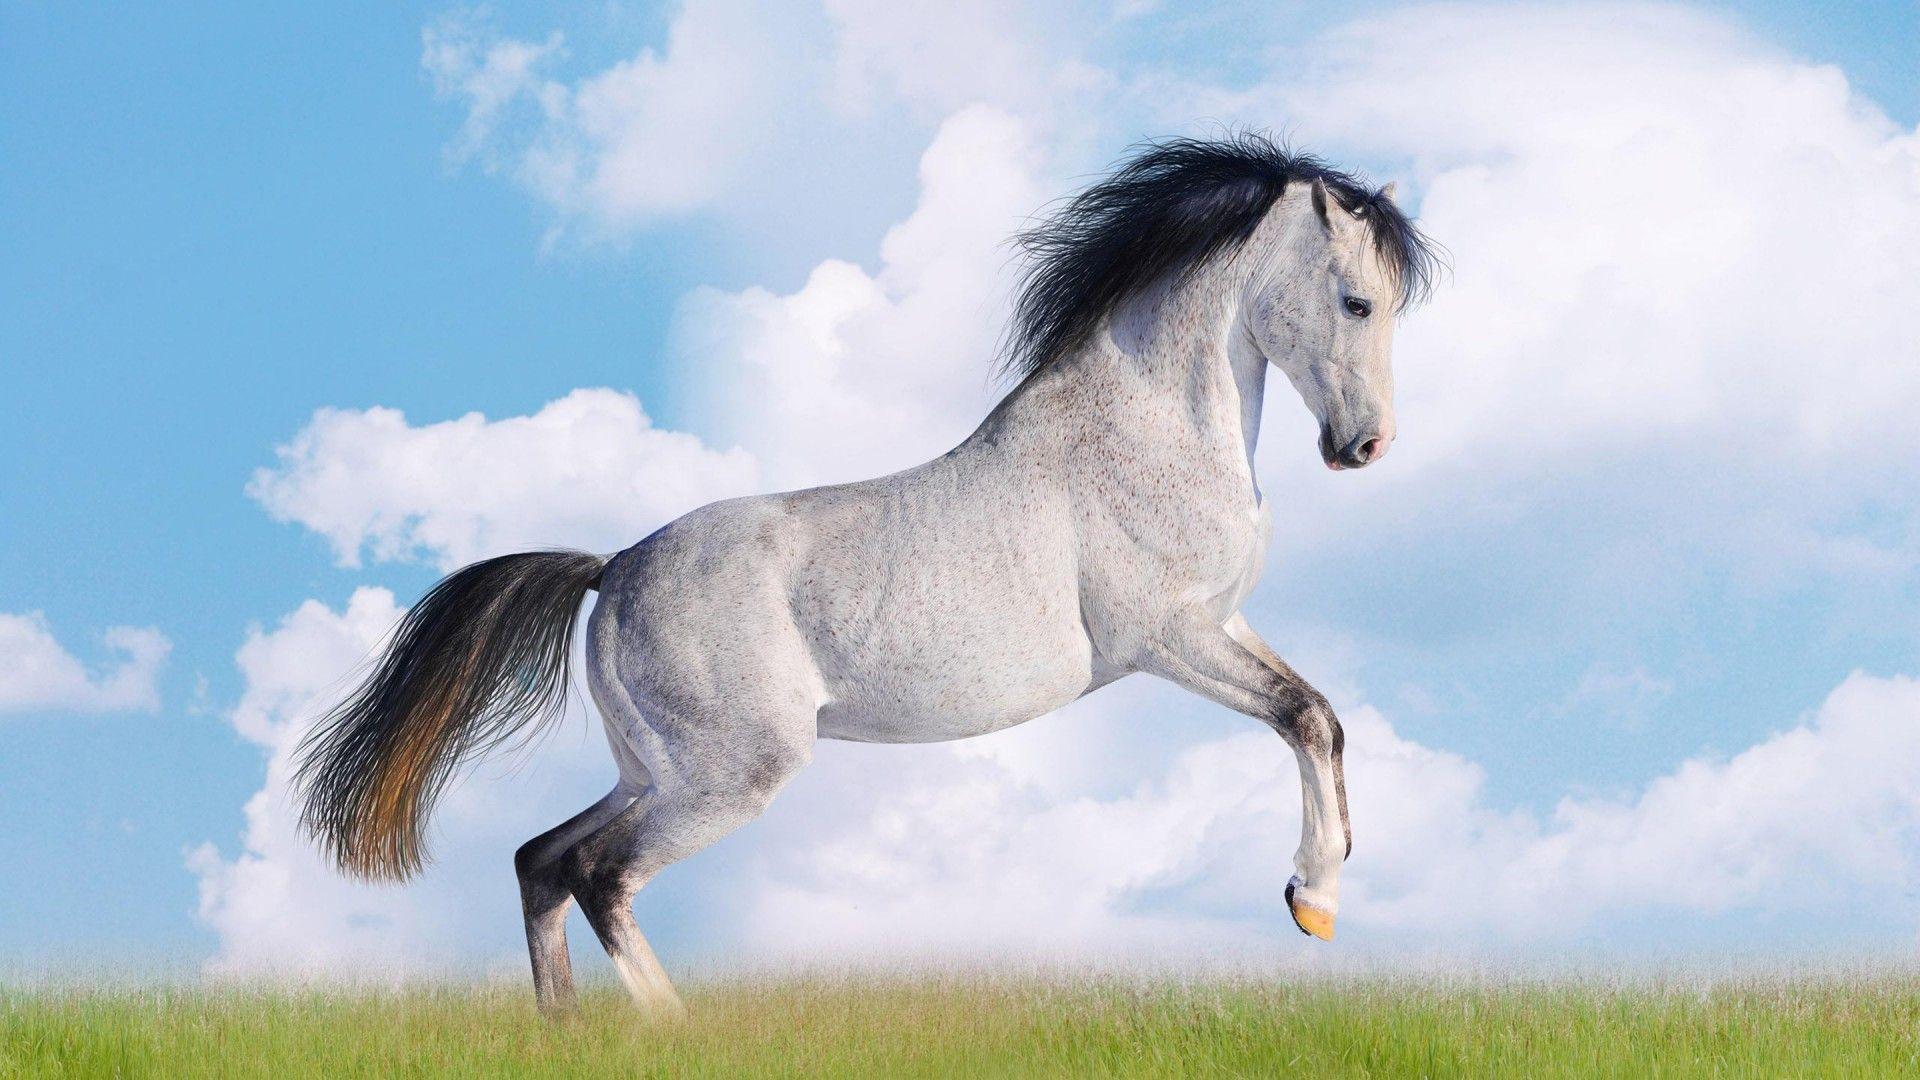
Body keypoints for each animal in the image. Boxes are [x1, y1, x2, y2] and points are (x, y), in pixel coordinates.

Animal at [294, 134, 1440, 1016]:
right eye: (1356, 303)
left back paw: (565, 1031)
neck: (1146, 430)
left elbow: (1322, 715)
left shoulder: (1220, 626)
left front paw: (1318, 900)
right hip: (729, 775)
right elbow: (1300, 716)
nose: (1364, 448)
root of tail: (612, 570)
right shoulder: (1166, 639)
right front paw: (1312, 898)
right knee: (597, 874)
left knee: (541, 859)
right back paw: (671, 1032)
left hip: (655, 768)